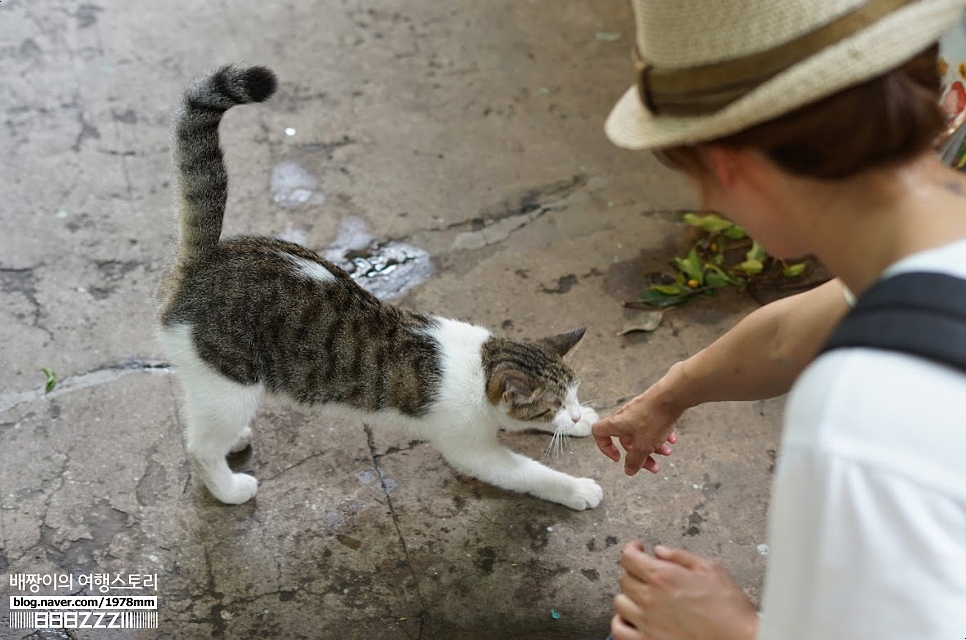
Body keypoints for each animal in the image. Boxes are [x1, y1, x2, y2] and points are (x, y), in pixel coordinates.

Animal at [156, 66, 600, 510]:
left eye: (574, 395)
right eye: (550, 407)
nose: (576, 413)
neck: (480, 363)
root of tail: (207, 259)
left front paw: (584, 424)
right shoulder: (471, 448)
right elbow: (529, 472)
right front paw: (576, 487)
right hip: (231, 382)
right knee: (200, 448)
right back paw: (229, 488)